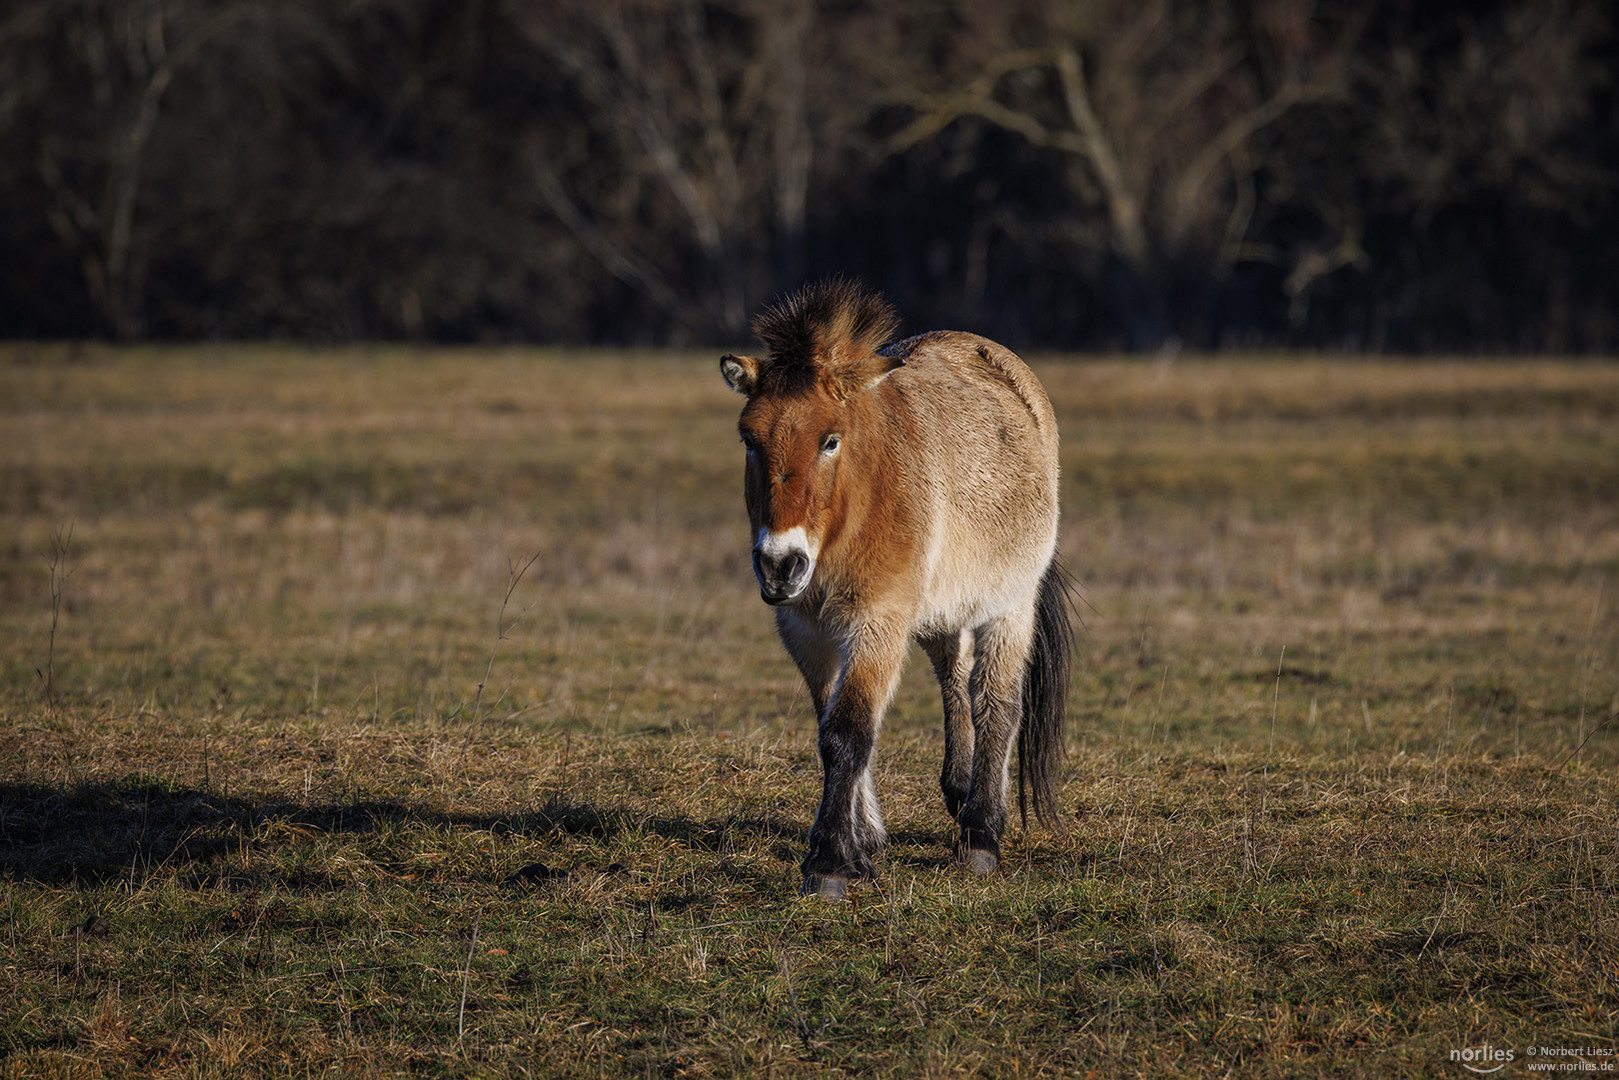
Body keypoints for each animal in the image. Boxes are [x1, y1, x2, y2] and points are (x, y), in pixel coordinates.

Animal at [715, 281, 1068, 906]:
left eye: (830, 440)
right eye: (750, 439)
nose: (780, 565)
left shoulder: (878, 622)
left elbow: (849, 730)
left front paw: (830, 862)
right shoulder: (806, 631)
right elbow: (832, 727)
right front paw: (864, 845)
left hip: (1011, 605)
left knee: (996, 701)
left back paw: (982, 834)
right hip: (940, 614)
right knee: (956, 678)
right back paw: (958, 792)